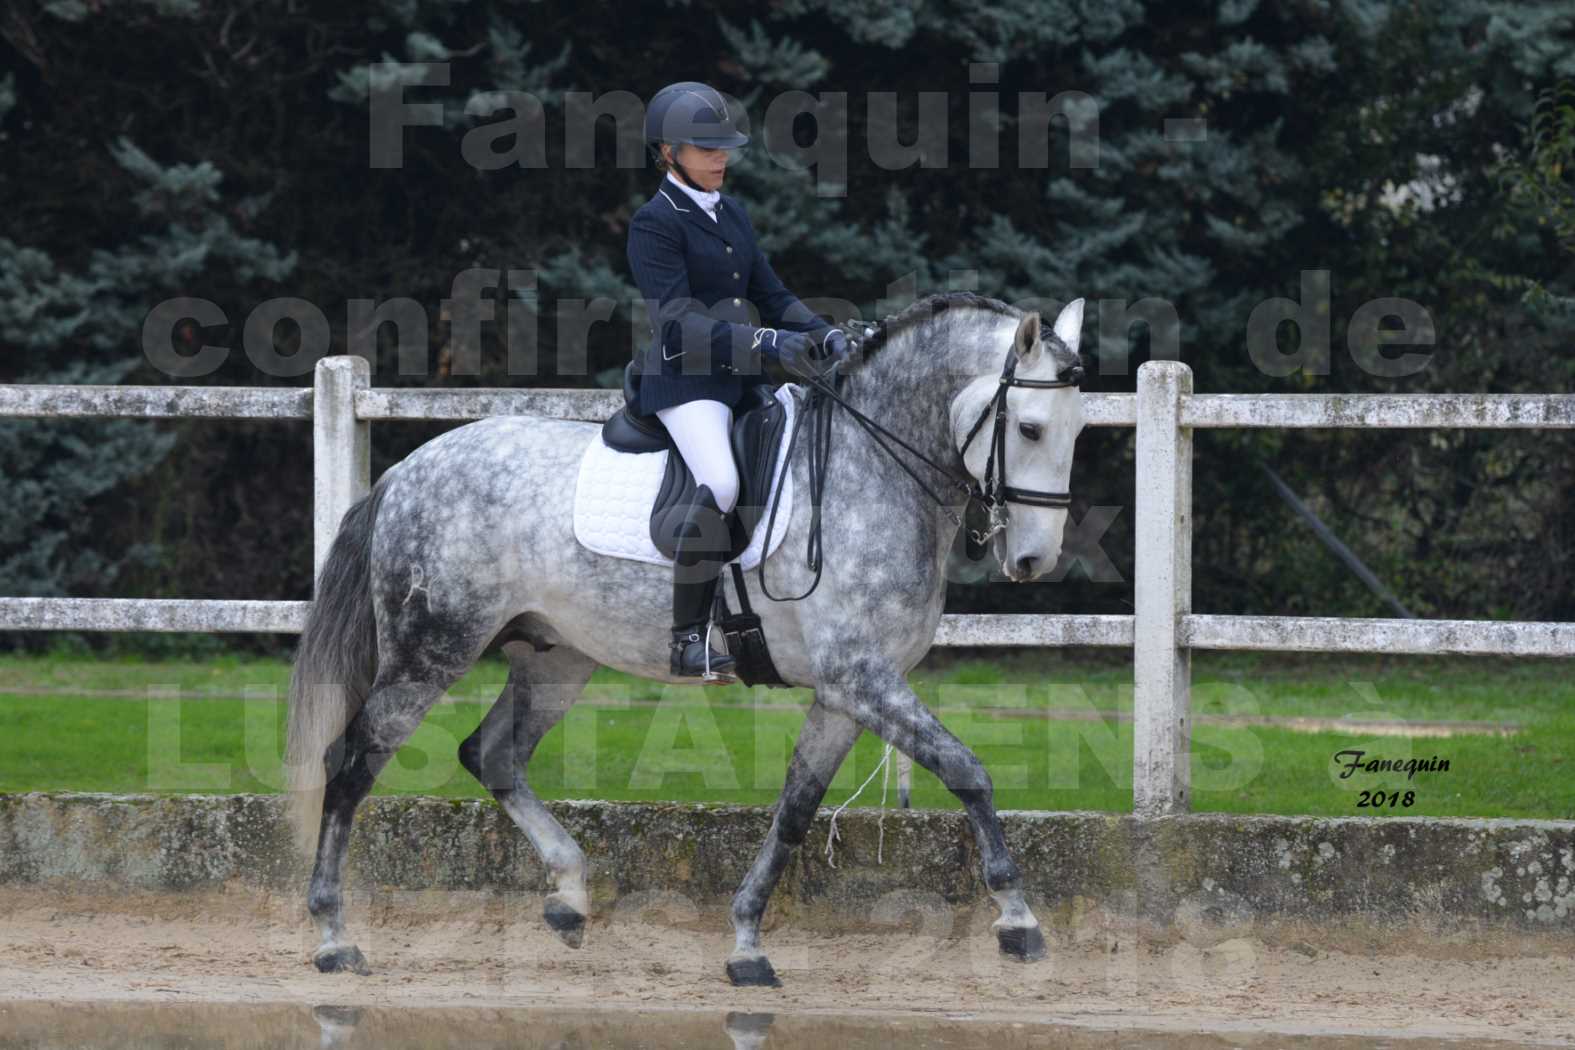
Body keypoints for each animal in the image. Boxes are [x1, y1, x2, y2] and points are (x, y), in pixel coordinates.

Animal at [286, 289, 1083, 988]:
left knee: (493, 755)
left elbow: (794, 813)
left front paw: (747, 943)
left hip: (554, 657)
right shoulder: (860, 678)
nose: (1033, 561)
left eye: (1076, 431)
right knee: (352, 764)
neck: (871, 470)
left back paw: (569, 897)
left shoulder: (845, 692)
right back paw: (333, 937)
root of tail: (405, 471)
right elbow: (967, 770)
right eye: (1030, 428)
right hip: (431, 650)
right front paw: (1017, 921)